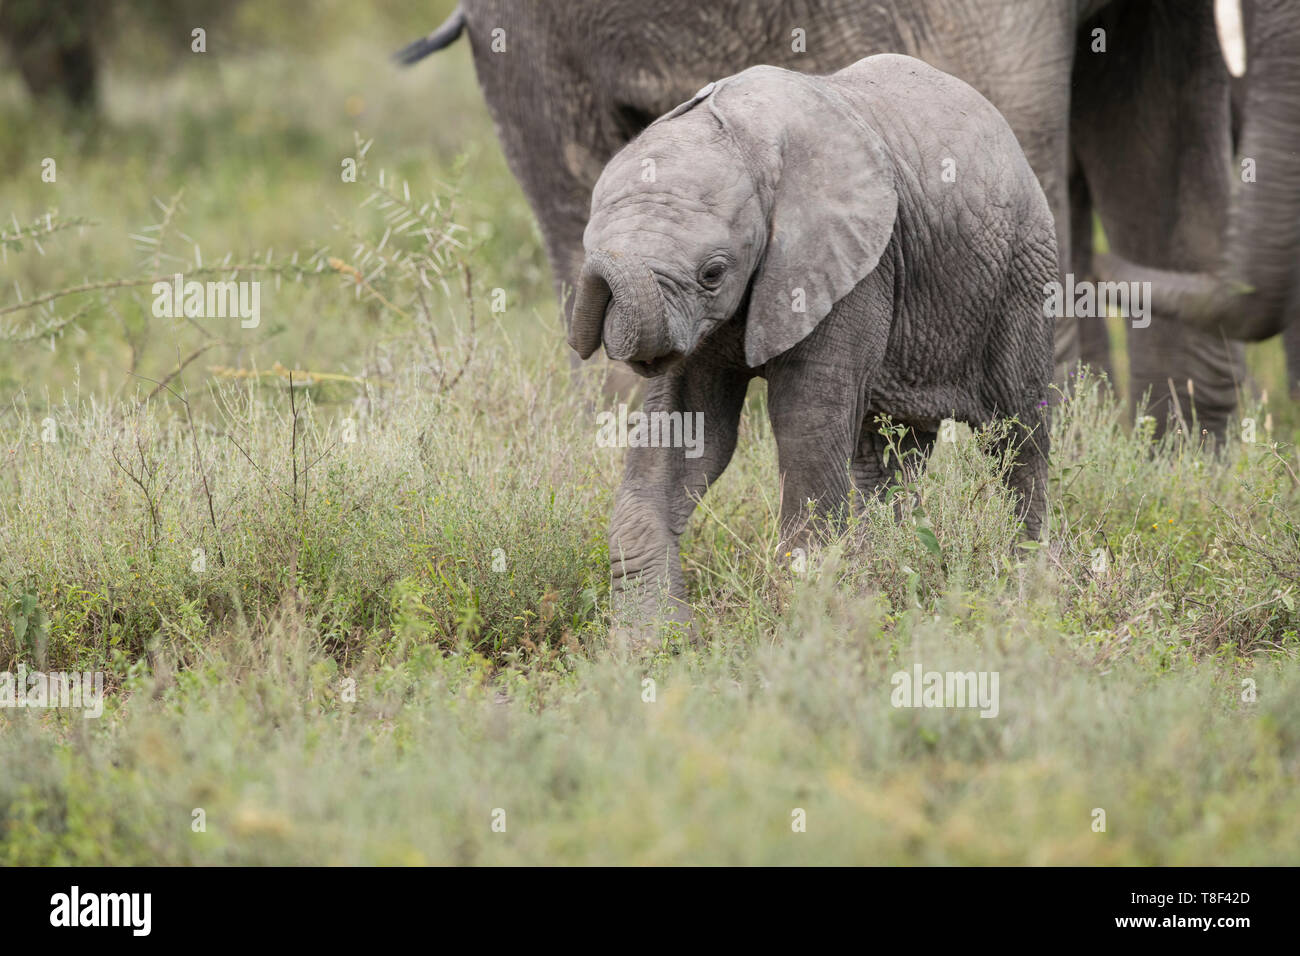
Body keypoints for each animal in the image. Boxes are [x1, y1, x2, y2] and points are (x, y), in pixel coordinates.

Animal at [574, 50, 1060, 634]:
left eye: (713, 273)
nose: (599, 281)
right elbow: (690, 433)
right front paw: (652, 642)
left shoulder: (853, 266)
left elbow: (806, 419)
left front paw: (807, 621)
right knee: (889, 452)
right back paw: (891, 574)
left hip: (1024, 271)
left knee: (1017, 438)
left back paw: (1024, 591)